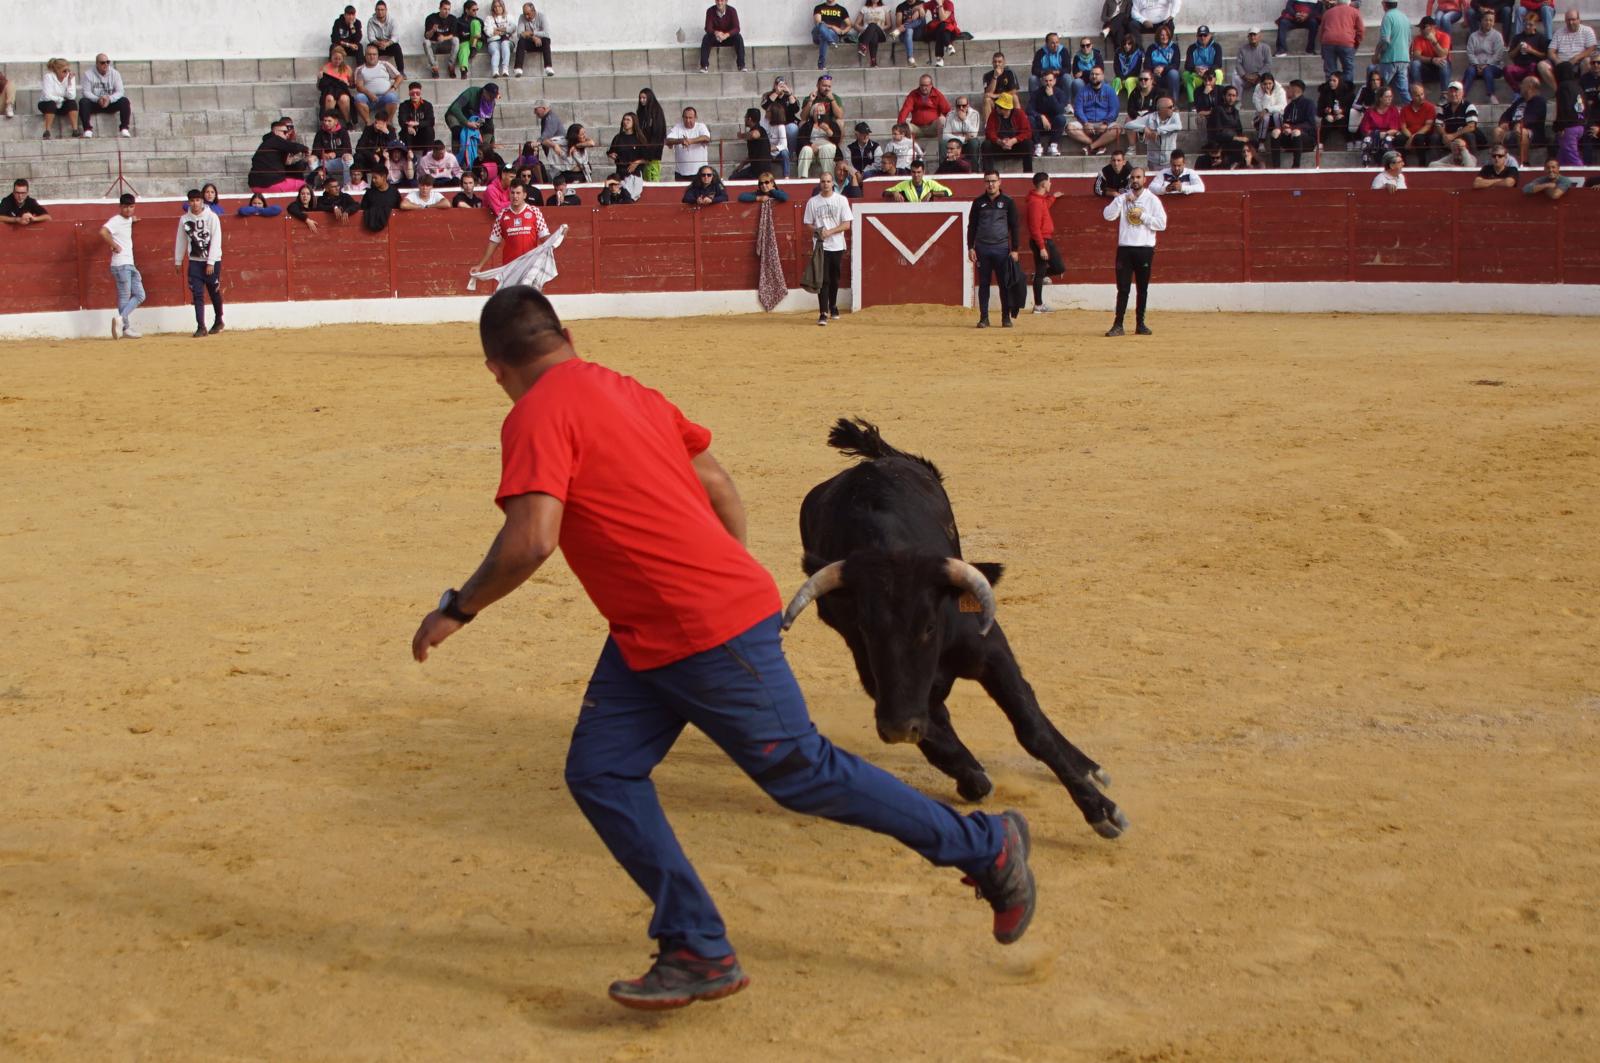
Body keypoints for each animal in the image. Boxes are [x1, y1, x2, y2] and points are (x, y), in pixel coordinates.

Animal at [777, 416, 1126, 838]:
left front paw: (1099, 809)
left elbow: (1031, 726)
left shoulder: (992, 651)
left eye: (929, 626)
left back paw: (1087, 766)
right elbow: (935, 732)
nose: (897, 728)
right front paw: (972, 777)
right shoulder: (878, 679)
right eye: (865, 627)